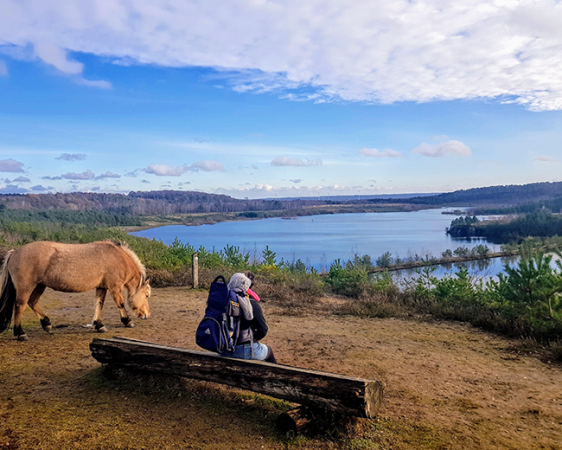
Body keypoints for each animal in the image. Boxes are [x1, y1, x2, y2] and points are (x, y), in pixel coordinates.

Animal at [0, 239, 151, 342]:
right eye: (147, 295)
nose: (147, 315)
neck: (118, 257)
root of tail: (14, 253)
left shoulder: (101, 287)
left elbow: (99, 304)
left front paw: (99, 325)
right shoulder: (115, 286)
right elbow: (120, 304)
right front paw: (128, 321)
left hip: (39, 285)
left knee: (32, 302)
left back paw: (46, 324)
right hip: (26, 287)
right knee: (20, 306)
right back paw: (20, 333)